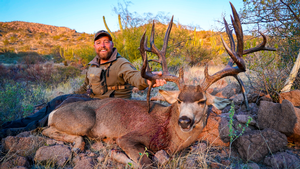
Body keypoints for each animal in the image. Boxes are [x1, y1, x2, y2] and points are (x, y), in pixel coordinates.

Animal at [41, 2, 274, 168]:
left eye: (202, 101)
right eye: (179, 100)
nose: (184, 121)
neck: (170, 136)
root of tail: (53, 112)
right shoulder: (128, 137)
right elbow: (146, 163)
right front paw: (116, 154)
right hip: (83, 121)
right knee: (50, 130)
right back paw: (77, 144)